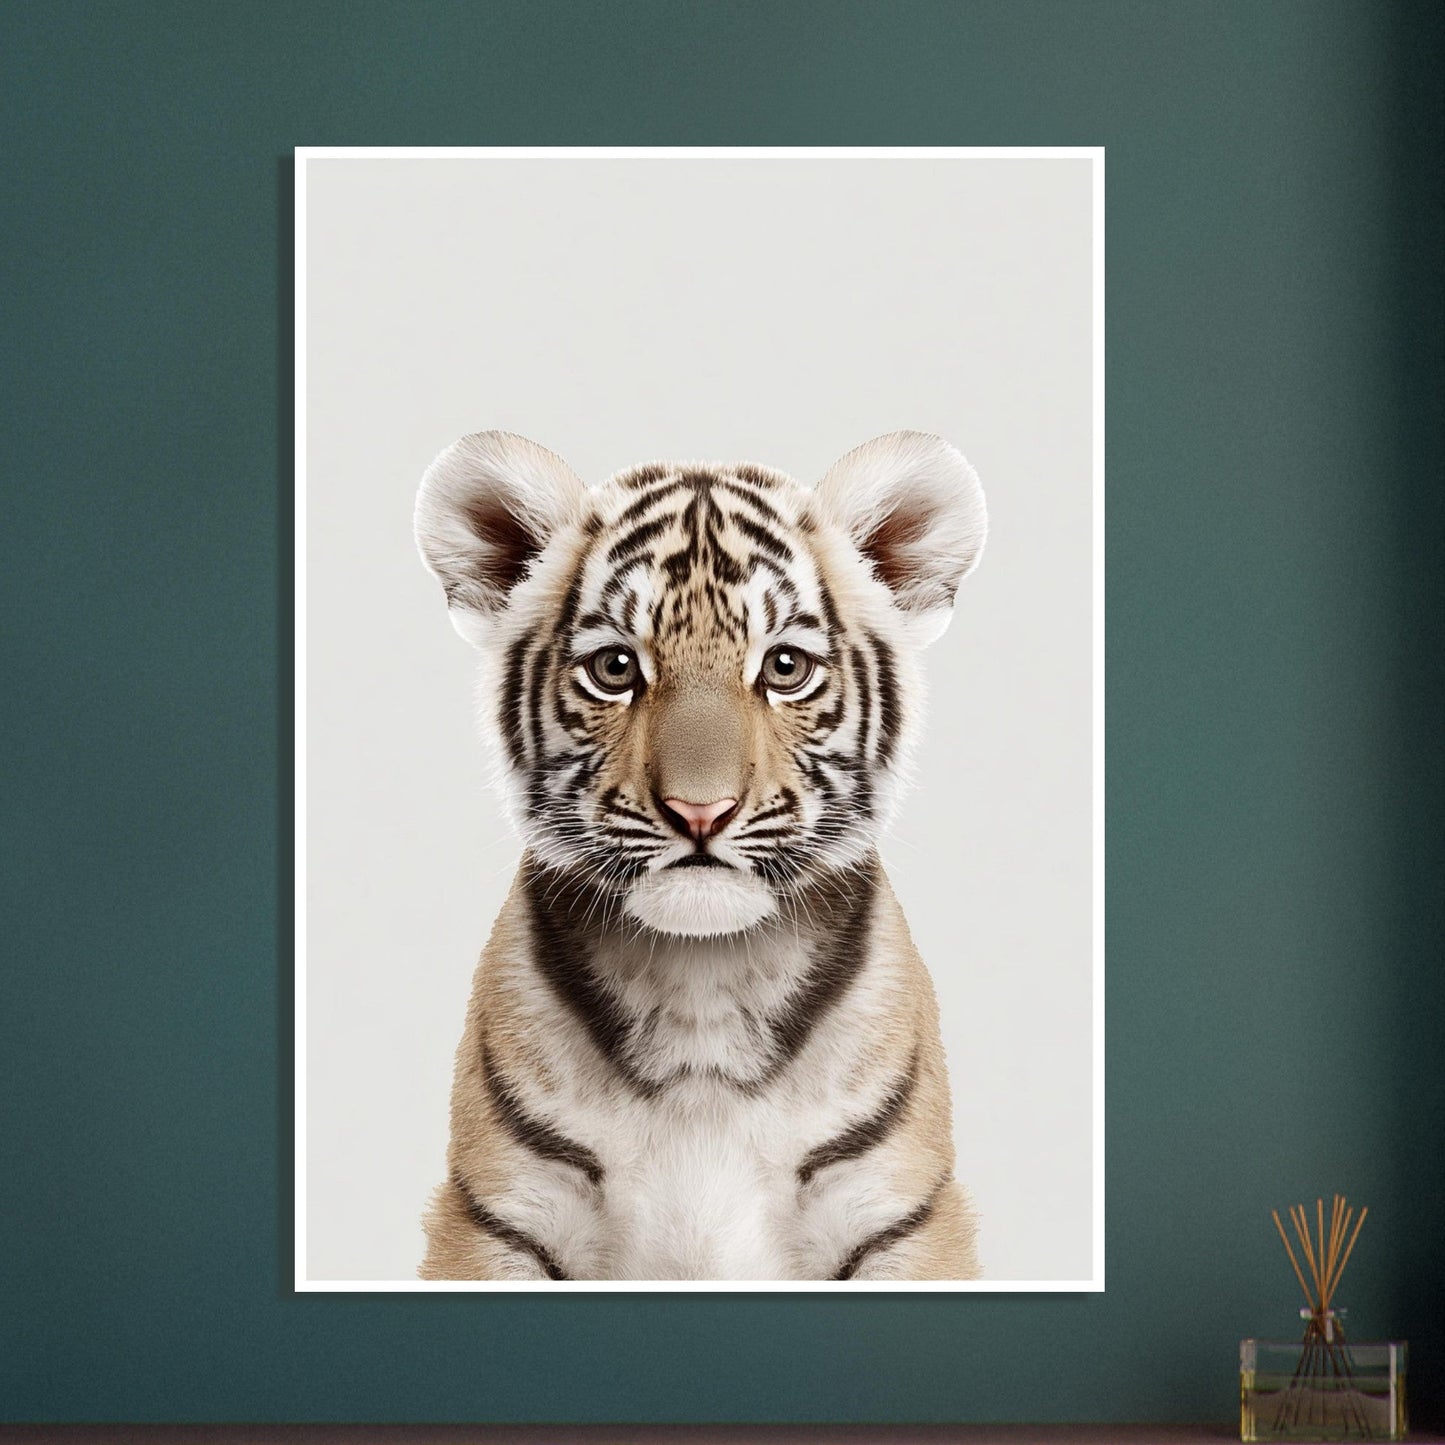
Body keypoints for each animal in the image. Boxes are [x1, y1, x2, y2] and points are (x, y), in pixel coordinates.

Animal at [413, 429, 987, 1281]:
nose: (699, 811)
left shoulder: (902, 1215)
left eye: (784, 666)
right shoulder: (495, 1215)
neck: (701, 987)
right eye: (615, 667)